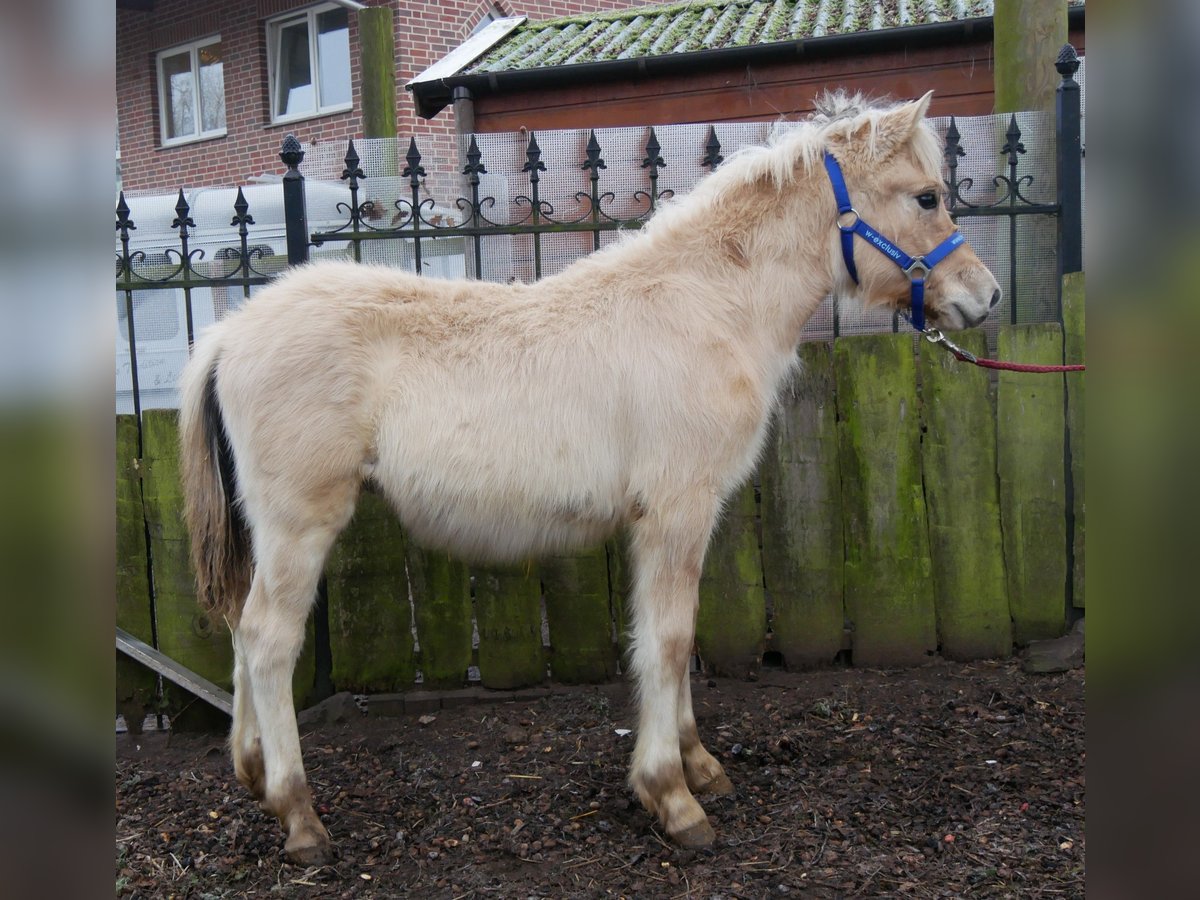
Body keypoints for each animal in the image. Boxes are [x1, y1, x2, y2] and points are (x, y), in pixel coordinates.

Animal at [177, 91, 1003, 868]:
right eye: (925, 196)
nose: (985, 295)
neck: (707, 305)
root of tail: (229, 334)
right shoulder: (676, 512)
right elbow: (667, 640)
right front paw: (672, 797)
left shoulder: (669, 520)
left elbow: (672, 636)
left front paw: (700, 767)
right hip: (298, 525)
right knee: (269, 639)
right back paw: (299, 816)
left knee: (242, 630)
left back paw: (253, 776)